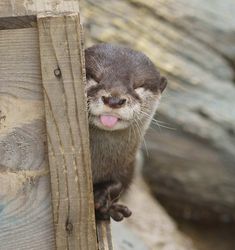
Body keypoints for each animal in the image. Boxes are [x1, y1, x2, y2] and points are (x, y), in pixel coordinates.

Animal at [85, 43, 167, 221]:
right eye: (95, 77)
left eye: (138, 85)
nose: (114, 100)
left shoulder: (129, 166)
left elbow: (120, 183)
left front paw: (102, 196)